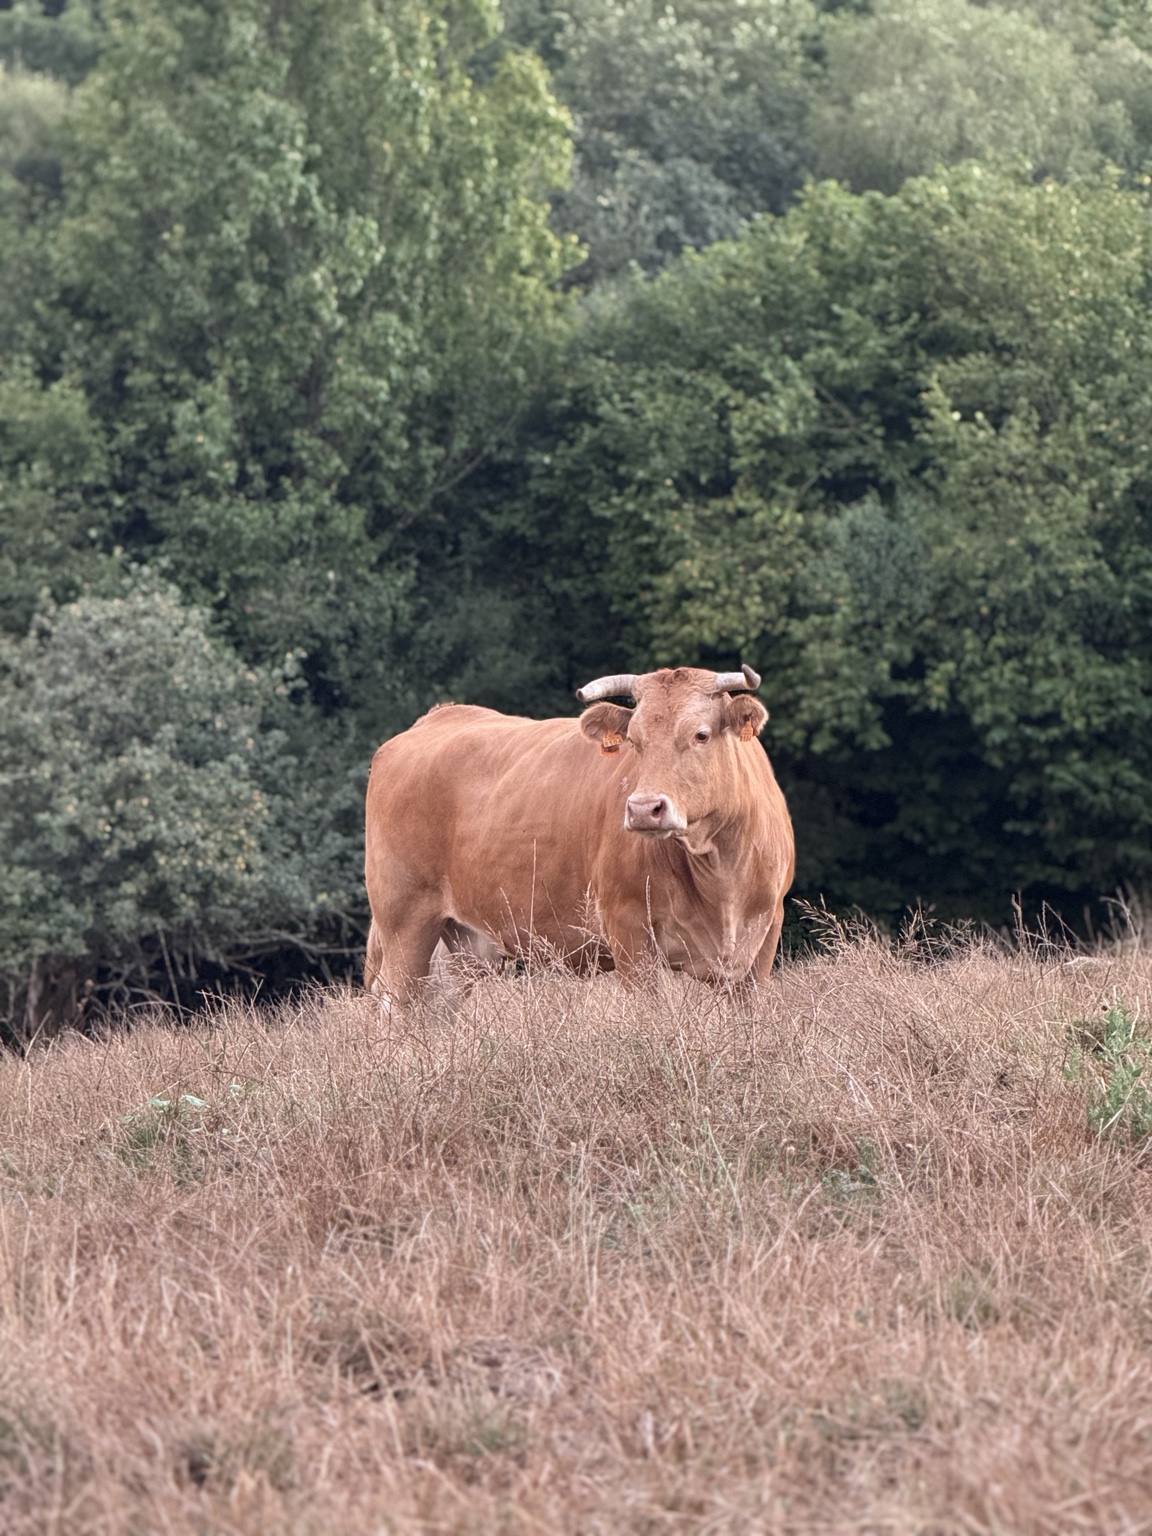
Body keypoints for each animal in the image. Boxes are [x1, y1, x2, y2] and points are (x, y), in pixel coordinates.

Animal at [363, 665, 794, 1006]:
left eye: (701, 735)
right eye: (634, 740)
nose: (644, 808)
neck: (720, 870)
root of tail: (438, 717)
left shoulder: (764, 937)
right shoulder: (628, 930)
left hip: (461, 946)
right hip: (405, 922)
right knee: (397, 1005)